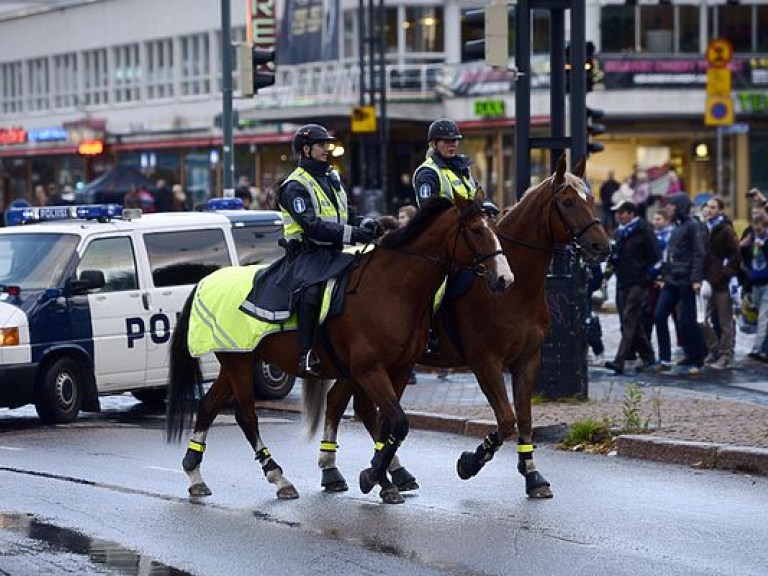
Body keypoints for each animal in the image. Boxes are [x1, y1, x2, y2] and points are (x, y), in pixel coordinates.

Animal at [165, 195, 512, 504]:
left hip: (237, 362)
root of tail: (204, 281)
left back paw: (195, 474)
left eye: (495, 228)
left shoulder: (398, 370)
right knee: (247, 416)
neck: (391, 289)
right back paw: (278, 477)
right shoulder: (369, 370)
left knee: (209, 407)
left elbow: (388, 424)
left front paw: (381, 477)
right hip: (239, 363)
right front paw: (373, 476)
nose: (504, 278)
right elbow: (397, 422)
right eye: (477, 230)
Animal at [316, 155, 608, 498]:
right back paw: (358, 472)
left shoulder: (528, 360)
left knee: (342, 402)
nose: (602, 246)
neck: (514, 289)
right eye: (568, 202)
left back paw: (365, 472)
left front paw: (533, 475)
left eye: (591, 199)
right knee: (353, 406)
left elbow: (524, 418)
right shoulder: (486, 362)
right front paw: (471, 462)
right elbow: (506, 420)